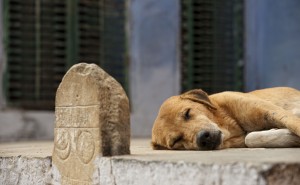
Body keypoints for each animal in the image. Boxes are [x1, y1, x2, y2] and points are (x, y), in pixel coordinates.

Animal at [151, 87, 300, 150]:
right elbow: (250, 138)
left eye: (187, 113)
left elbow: (294, 123)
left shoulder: (271, 110)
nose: (203, 138)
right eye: (176, 141)